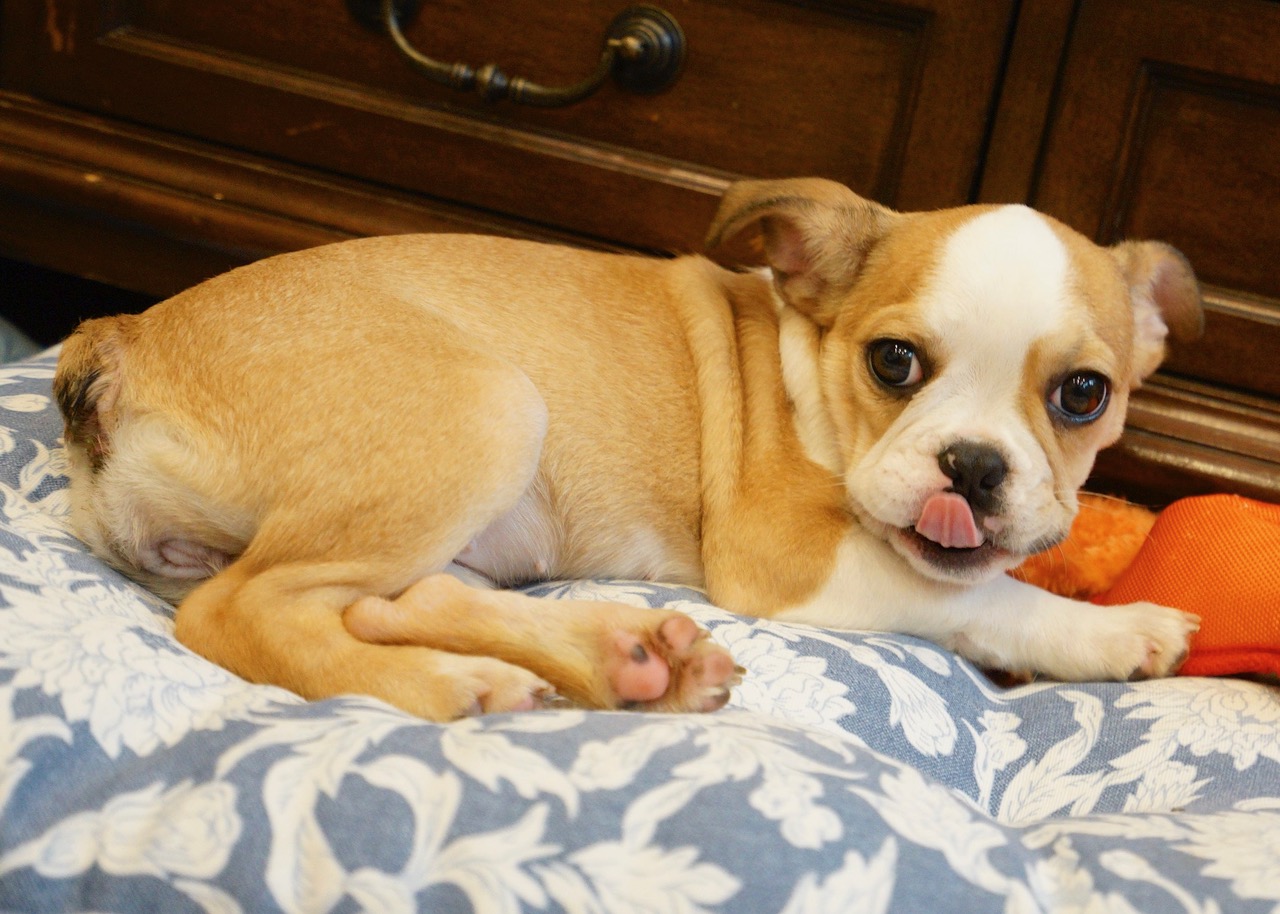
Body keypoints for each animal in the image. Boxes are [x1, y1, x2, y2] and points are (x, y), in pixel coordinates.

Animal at [53, 178, 1203, 721]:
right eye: (893, 364)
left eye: (1084, 395)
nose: (972, 467)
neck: (806, 361)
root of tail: (119, 337)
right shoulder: (795, 558)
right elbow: (980, 595)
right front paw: (1116, 628)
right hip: (490, 408)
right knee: (241, 609)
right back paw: (447, 688)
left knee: (403, 598)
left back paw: (622, 657)